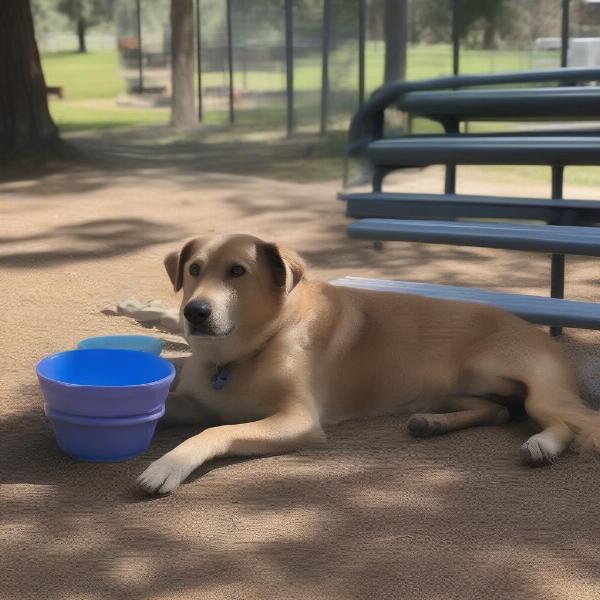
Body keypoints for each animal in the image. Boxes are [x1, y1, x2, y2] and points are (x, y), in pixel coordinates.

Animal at [136, 232, 600, 494]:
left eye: (237, 271)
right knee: (500, 411)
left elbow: (216, 431)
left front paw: (167, 466)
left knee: (572, 420)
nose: (194, 312)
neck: (251, 347)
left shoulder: (299, 420)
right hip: (452, 391)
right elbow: (171, 410)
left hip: (538, 389)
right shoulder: (198, 402)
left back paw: (541, 445)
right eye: (194, 269)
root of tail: (539, 332)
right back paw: (433, 424)